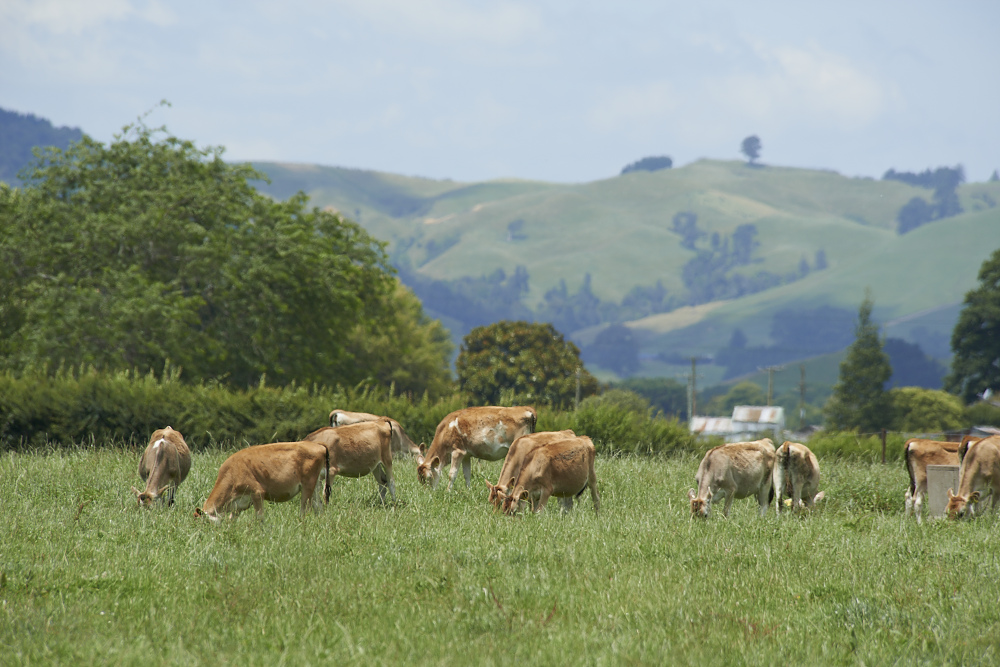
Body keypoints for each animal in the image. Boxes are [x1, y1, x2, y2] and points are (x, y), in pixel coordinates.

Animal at [194, 441, 330, 522]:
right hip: (316, 485)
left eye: (203, 523)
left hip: (307, 486)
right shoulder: (238, 505)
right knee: (319, 506)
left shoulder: (257, 493)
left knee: (305, 509)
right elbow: (232, 520)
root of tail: (319, 445)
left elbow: (260, 517)